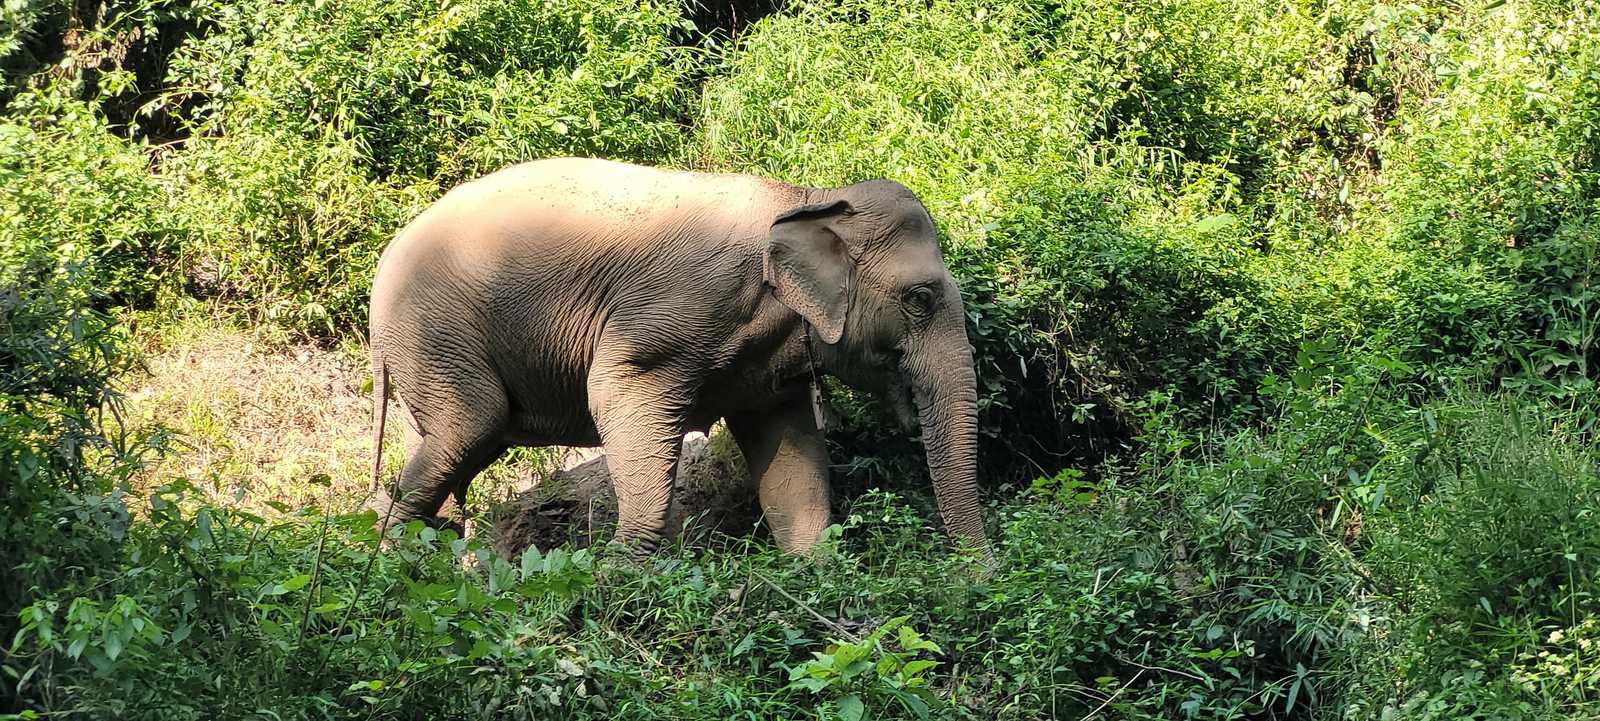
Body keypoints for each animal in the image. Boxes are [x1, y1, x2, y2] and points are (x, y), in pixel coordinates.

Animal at [366, 157, 991, 563]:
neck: (806, 198)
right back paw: (388, 566)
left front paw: (813, 571)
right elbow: (616, 393)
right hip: (436, 332)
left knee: (457, 449)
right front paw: (620, 572)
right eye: (919, 300)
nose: (978, 578)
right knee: (470, 427)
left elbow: (789, 451)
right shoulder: (678, 309)